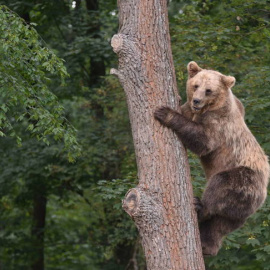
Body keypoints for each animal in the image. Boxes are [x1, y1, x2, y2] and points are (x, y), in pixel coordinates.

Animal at [154, 61, 270, 258]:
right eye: (196, 85)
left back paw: (199, 206)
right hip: (240, 211)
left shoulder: (218, 124)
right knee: (220, 224)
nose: (196, 101)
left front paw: (164, 112)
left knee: (220, 187)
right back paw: (207, 246)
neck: (209, 108)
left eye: (208, 90)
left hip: (245, 179)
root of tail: (263, 195)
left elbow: (203, 141)